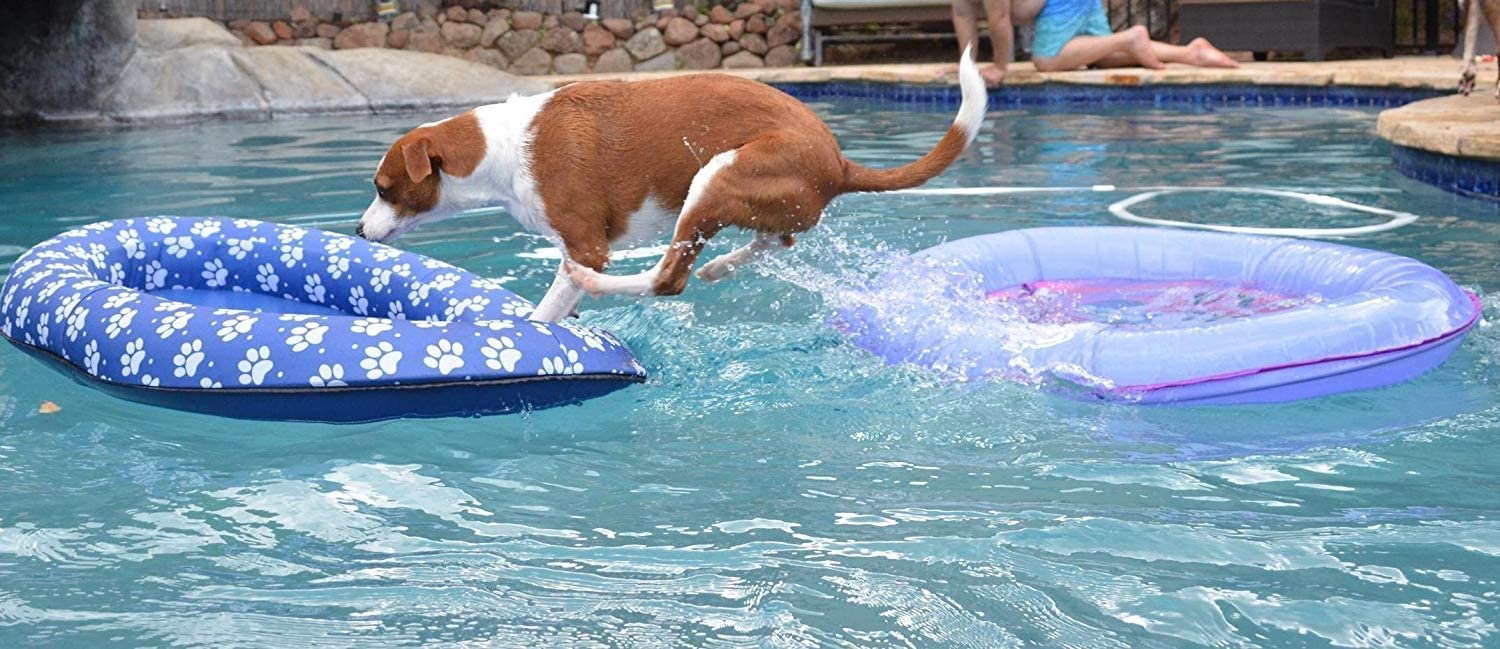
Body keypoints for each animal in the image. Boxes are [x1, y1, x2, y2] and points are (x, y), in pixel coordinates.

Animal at [349, 52, 984, 320]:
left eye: (383, 189)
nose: (356, 229)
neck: (503, 146)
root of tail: (839, 160)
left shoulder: (586, 242)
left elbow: (551, 306)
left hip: (719, 174)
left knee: (667, 279)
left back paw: (625, 281)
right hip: (748, 197)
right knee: (774, 241)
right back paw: (721, 266)